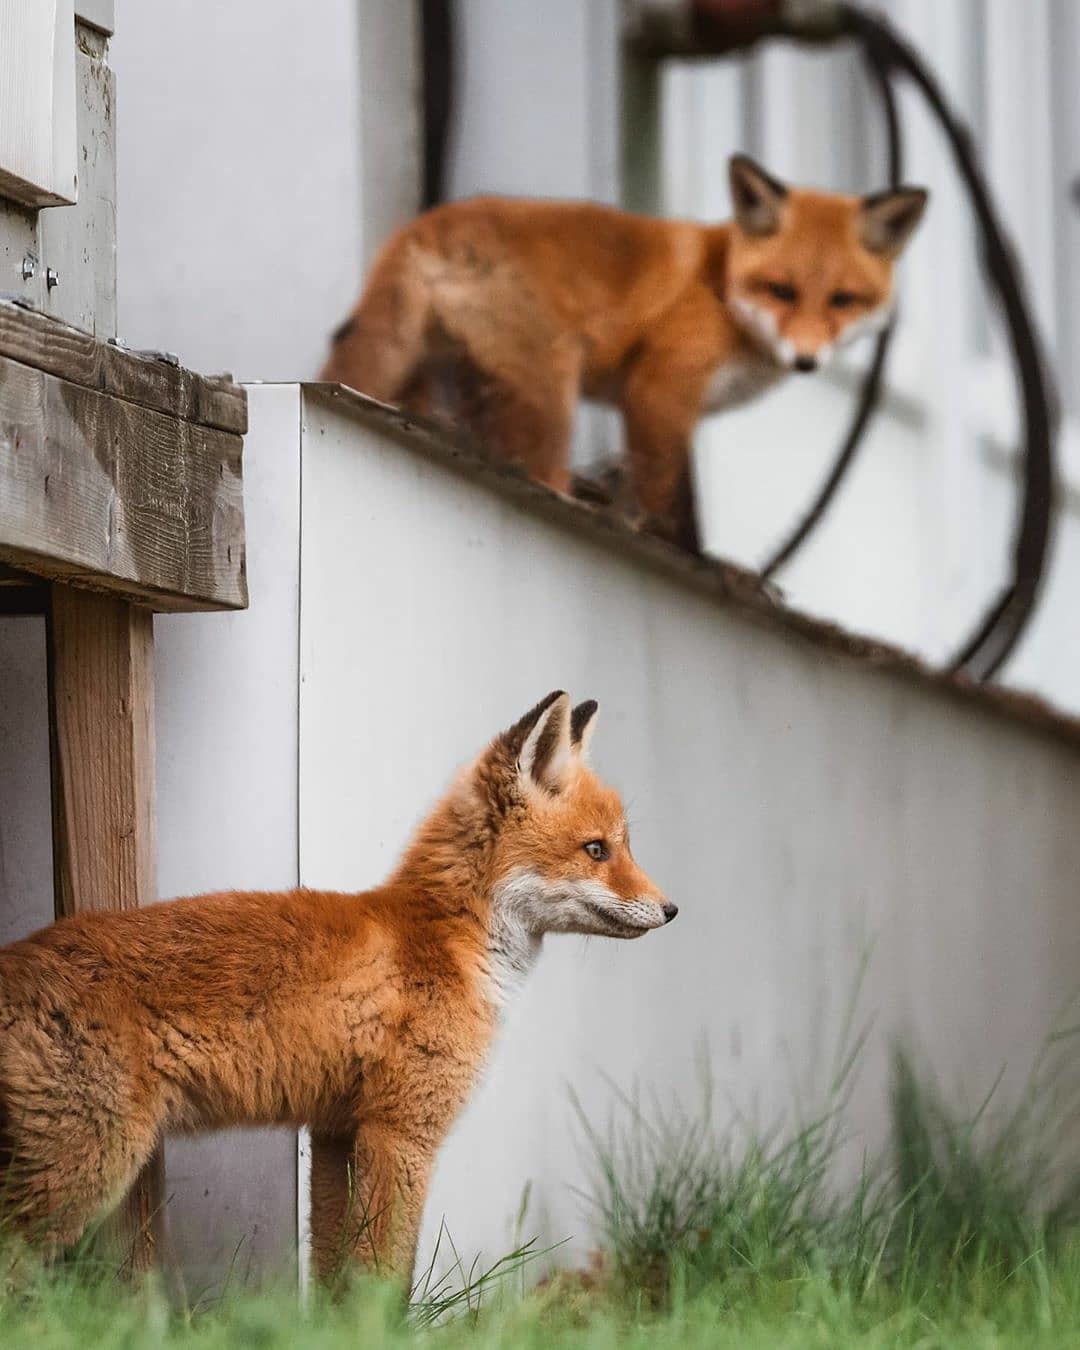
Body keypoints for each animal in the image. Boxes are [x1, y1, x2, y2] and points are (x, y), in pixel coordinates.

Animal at [0, 696, 669, 1285]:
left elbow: (333, 1273)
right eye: (595, 850)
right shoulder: (401, 1131)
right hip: (85, 1165)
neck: (447, 941)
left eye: (624, 846)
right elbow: (383, 1277)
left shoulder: (334, 1130)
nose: (671, 910)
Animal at [321, 159, 928, 553]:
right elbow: (670, 501)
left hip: (437, 379)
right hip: (549, 396)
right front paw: (686, 554)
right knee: (543, 474)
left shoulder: (669, 412)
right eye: (781, 290)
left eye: (843, 300)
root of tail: (423, 227)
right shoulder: (658, 390)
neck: (718, 282)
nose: (806, 361)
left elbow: (651, 493)